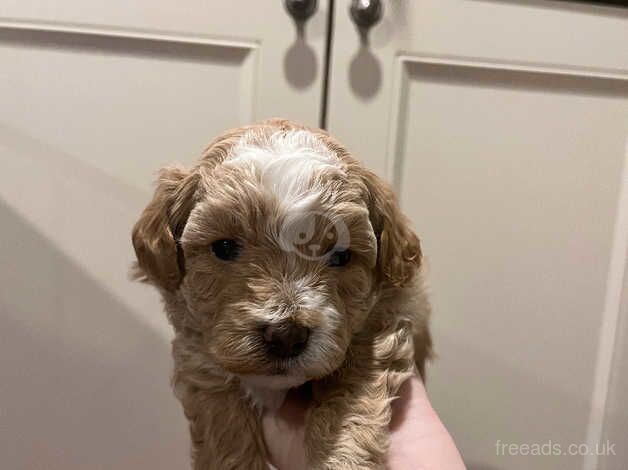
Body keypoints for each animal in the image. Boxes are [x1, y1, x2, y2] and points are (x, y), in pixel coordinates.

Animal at [132, 120, 432, 470]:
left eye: (341, 256)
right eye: (224, 247)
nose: (286, 336)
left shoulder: (384, 324)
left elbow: (349, 405)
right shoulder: (198, 348)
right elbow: (223, 419)